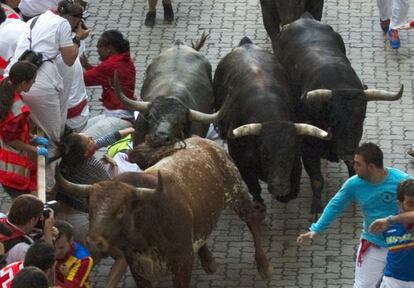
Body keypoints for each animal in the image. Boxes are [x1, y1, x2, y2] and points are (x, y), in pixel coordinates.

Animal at [57, 136, 272, 286]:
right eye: (90, 208)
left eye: (121, 210)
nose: (94, 241)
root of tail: (204, 141)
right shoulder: (138, 269)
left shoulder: (182, 264)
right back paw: (208, 260)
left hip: (236, 192)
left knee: (252, 219)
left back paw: (264, 265)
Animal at [212, 38, 328, 204]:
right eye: (264, 152)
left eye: (291, 152)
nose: (280, 187)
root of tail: (245, 44)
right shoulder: (242, 164)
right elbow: (254, 189)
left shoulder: (295, 165)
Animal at [276, 15, 402, 214]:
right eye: (335, 118)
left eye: (361, 118)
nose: (347, 150)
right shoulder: (307, 147)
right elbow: (317, 180)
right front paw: (316, 208)